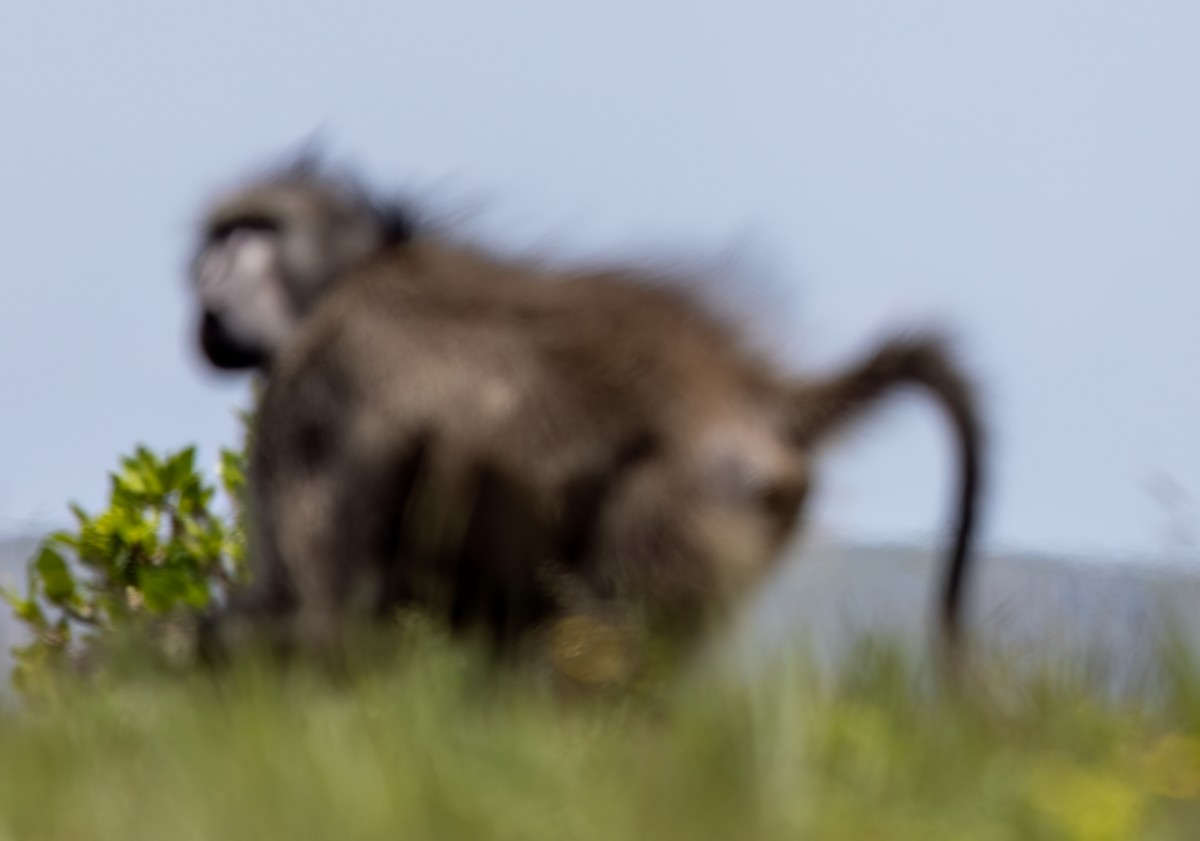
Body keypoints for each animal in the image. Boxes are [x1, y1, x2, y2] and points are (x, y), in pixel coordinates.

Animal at [188, 156, 984, 683]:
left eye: (254, 231)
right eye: (219, 236)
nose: (209, 286)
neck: (353, 275)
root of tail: (750, 390)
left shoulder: (317, 383)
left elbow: (314, 611)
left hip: (688, 502)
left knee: (599, 653)